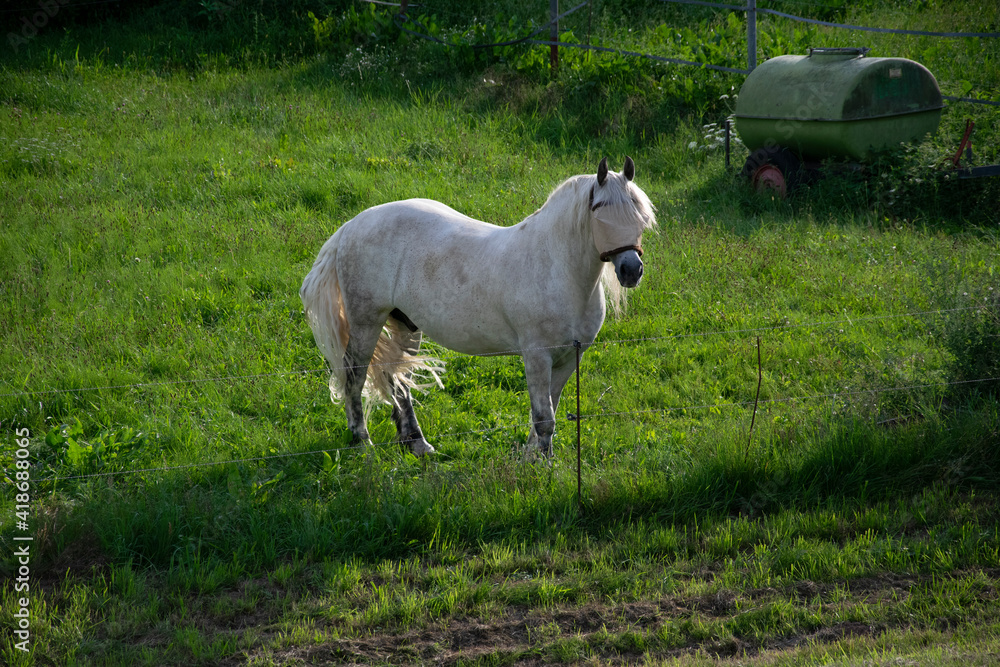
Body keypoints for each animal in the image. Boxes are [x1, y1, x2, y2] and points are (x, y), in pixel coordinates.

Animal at [300, 157, 656, 457]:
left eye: (639, 216)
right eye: (600, 212)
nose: (631, 271)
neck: (557, 268)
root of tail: (351, 225)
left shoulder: (570, 357)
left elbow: (548, 413)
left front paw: (533, 457)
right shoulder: (537, 355)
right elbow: (544, 417)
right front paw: (540, 467)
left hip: (405, 325)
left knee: (397, 377)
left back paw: (416, 444)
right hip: (366, 322)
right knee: (354, 373)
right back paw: (362, 442)